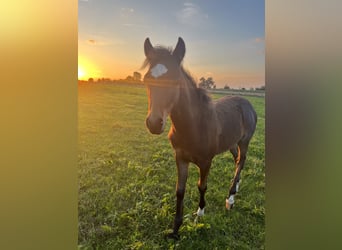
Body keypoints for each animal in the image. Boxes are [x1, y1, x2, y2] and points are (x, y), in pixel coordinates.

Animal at [142, 36, 256, 238]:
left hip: (244, 141)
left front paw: (200, 213)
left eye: (175, 80)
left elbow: (201, 186)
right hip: (231, 143)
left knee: (241, 161)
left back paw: (230, 199)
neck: (193, 126)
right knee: (237, 162)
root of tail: (247, 103)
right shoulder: (180, 158)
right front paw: (175, 229)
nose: (154, 123)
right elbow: (180, 190)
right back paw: (236, 186)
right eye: (147, 79)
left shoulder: (205, 161)